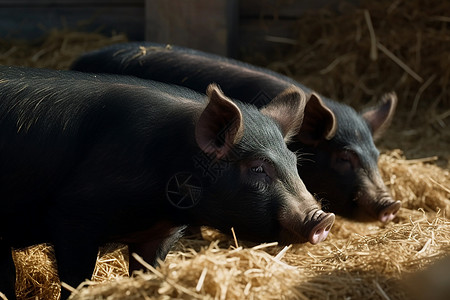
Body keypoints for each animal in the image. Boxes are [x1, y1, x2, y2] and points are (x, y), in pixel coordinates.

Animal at [0, 66, 334, 300]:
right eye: (257, 168)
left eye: (294, 162)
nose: (323, 218)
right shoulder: (71, 218)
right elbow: (75, 281)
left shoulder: (158, 236)